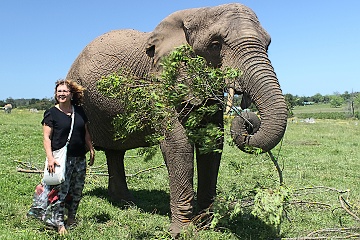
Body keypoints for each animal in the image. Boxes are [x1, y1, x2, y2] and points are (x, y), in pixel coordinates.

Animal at [67, 3, 286, 236]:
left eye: (268, 44)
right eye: (215, 45)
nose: (248, 122)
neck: (198, 12)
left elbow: (211, 142)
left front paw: (206, 225)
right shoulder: (159, 82)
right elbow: (178, 145)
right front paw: (182, 232)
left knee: (115, 152)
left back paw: (125, 203)